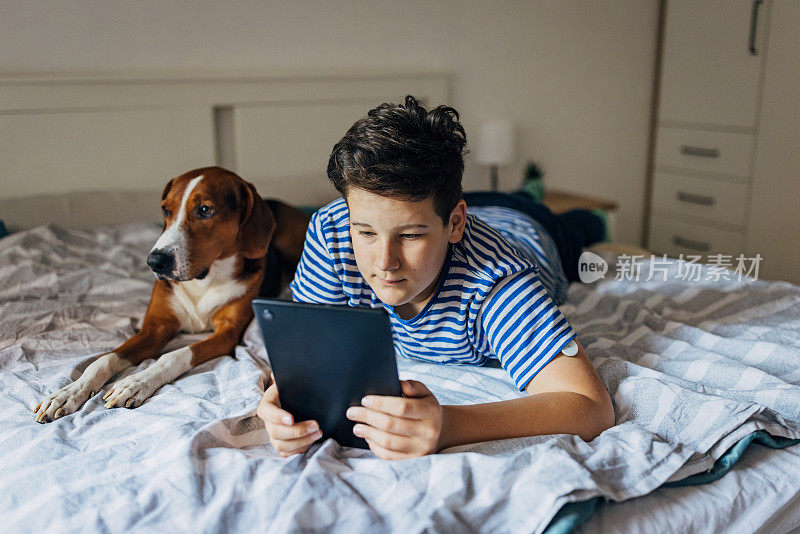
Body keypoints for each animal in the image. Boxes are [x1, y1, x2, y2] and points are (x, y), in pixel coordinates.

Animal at [34, 165, 310, 426]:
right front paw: (69, 392)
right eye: (166, 209)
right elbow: (104, 359)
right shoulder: (155, 328)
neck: (202, 281)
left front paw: (136, 383)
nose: (154, 262)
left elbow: (174, 355)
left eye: (205, 210)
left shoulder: (227, 333)